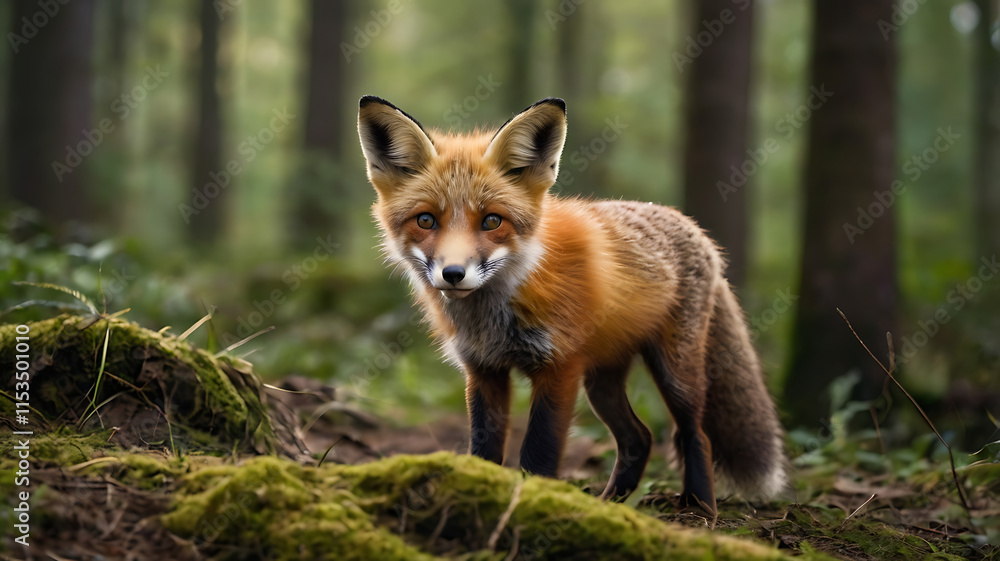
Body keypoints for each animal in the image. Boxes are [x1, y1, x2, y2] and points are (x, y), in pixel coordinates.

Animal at [357, 95, 786, 514]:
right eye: (426, 220)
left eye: (492, 221)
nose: (453, 274)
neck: (500, 309)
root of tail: (692, 225)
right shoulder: (483, 369)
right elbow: (483, 450)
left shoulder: (560, 366)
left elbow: (539, 453)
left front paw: (532, 505)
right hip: (601, 382)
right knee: (640, 437)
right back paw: (610, 505)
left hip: (674, 371)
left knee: (693, 433)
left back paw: (699, 509)